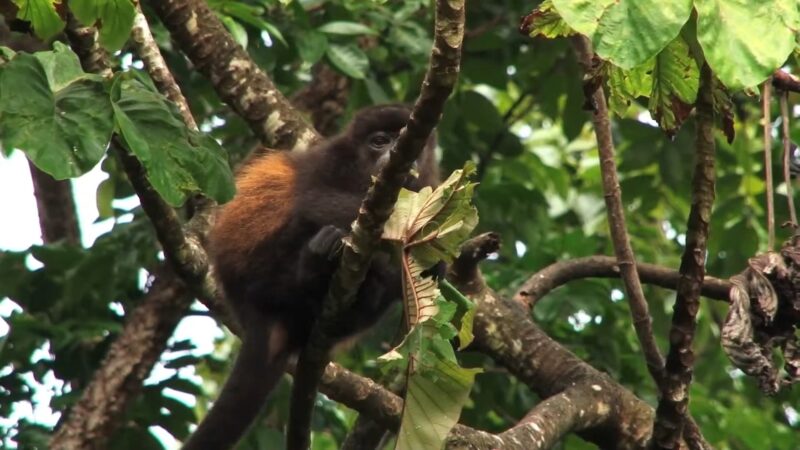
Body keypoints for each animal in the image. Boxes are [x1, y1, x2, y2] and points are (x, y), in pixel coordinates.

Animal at [182, 103, 440, 448]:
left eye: (404, 138)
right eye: (379, 141)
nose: (394, 154)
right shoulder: (331, 160)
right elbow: (311, 198)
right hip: (264, 271)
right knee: (301, 222)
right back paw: (315, 262)